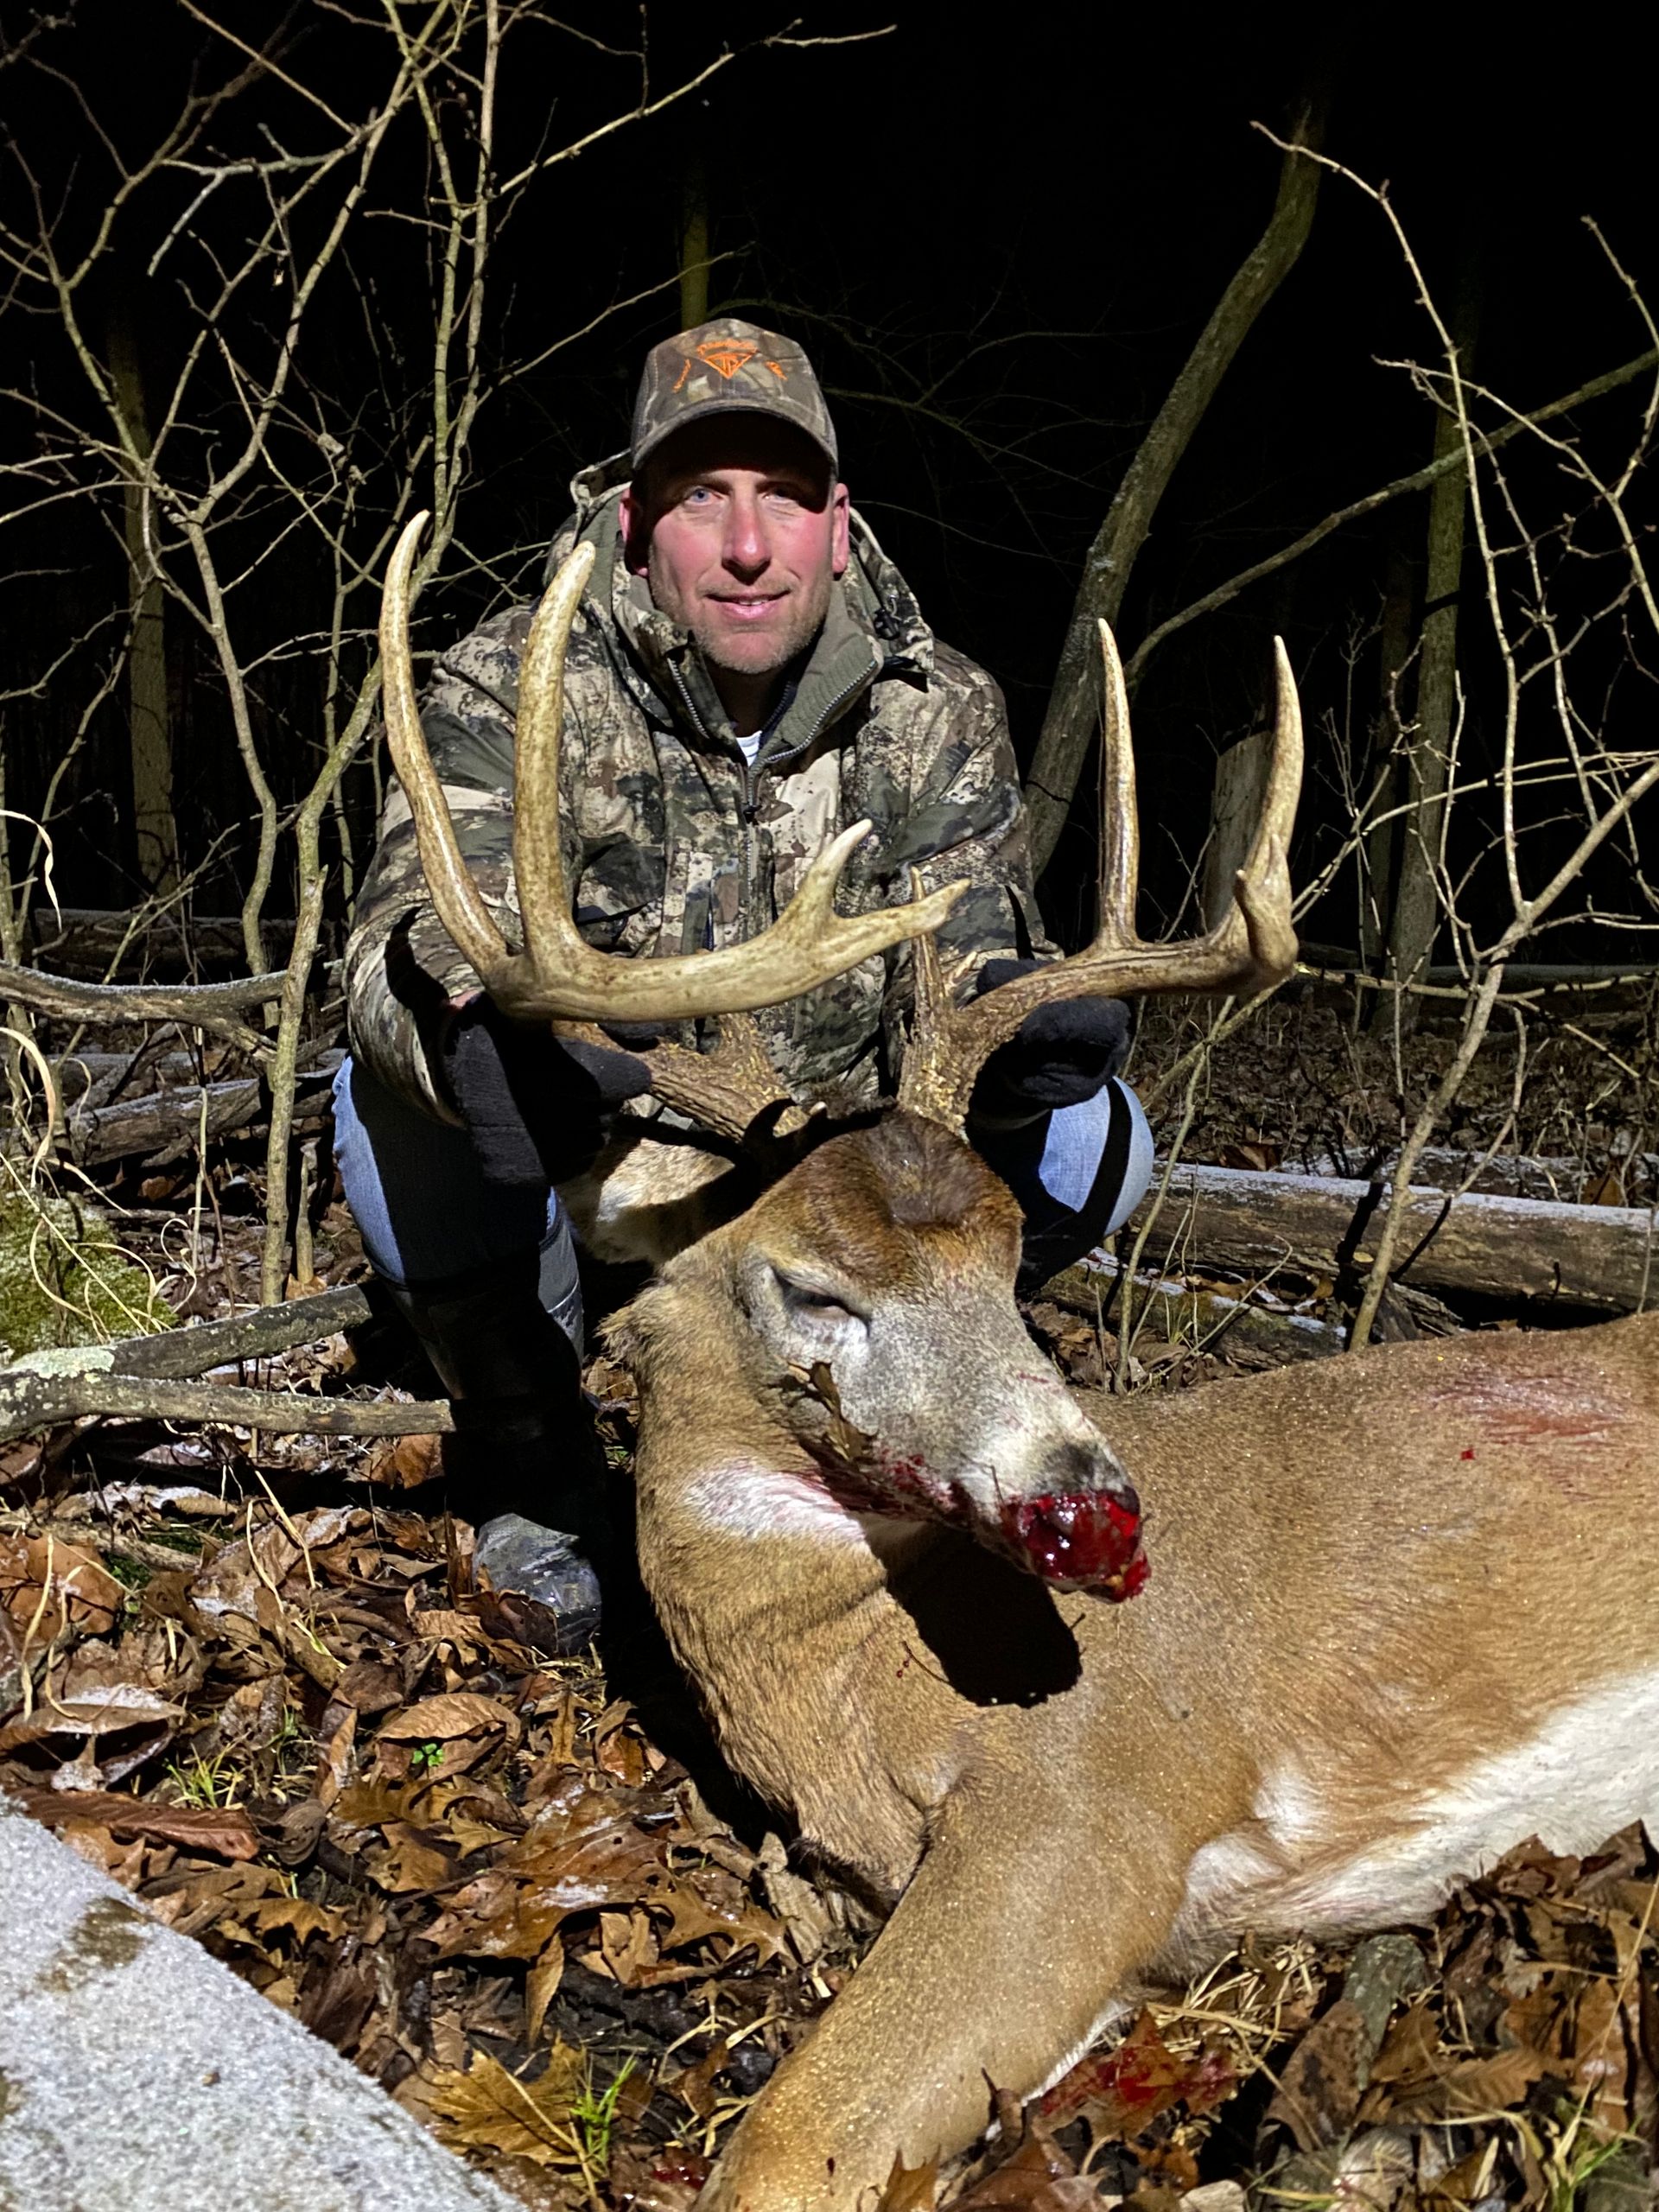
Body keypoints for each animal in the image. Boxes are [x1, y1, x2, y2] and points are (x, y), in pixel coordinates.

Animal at [380, 516, 1659, 2210]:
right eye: (813, 1288)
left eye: (1005, 1260)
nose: (1091, 1500)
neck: (851, 1686)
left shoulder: (1090, 1814)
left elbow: (784, 2147)